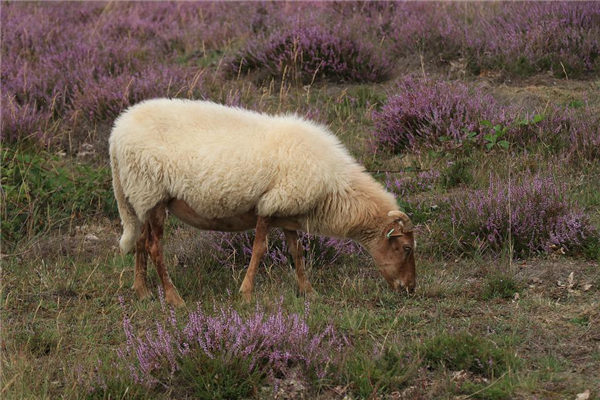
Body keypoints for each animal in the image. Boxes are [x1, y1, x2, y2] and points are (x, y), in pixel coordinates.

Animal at [109, 98, 418, 304]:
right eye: (405, 248)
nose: (410, 289)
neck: (335, 189)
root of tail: (117, 132)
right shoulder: (270, 206)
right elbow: (260, 249)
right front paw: (246, 293)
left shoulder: (289, 212)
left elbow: (297, 253)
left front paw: (309, 291)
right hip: (151, 192)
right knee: (154, 247)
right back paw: (174, 298)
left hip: (144, 198)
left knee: (140, 241)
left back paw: (143, 291)